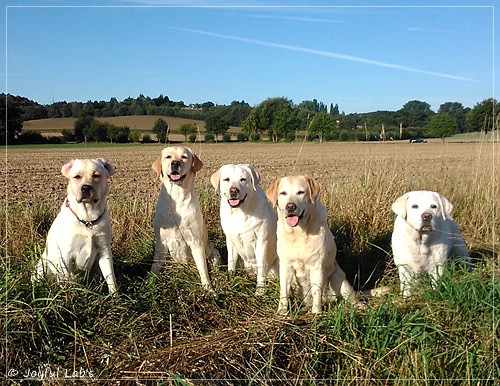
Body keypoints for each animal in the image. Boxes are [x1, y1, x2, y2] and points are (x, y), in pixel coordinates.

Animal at [150, 146, 217, 294]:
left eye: (184, 157)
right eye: (168, 157)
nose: (175, 163)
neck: (176, 198)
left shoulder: (196, 241)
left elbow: (203, 270)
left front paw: (209, 289)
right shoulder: (161, 242)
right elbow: (154, 266)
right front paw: (148, 283)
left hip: (213, 250)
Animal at [211, 162, 280, 292]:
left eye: (243, 179)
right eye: (226, 179)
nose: (234, 190)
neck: (239, 212)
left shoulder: (262, 242)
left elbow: (261, 268)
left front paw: (260, 291)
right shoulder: (231, 241)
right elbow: (231, 262)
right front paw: (230, 280)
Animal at [266, 176, 360, 316]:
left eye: (300, 192)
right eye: (283, 193)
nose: (290, 206)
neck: (298, 234)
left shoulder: (317, 267)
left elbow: (317, 292)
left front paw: (316, 313)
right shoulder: (286, 266)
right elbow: (283, 292)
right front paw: (282, 311)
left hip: (337, 278)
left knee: (353, 299)